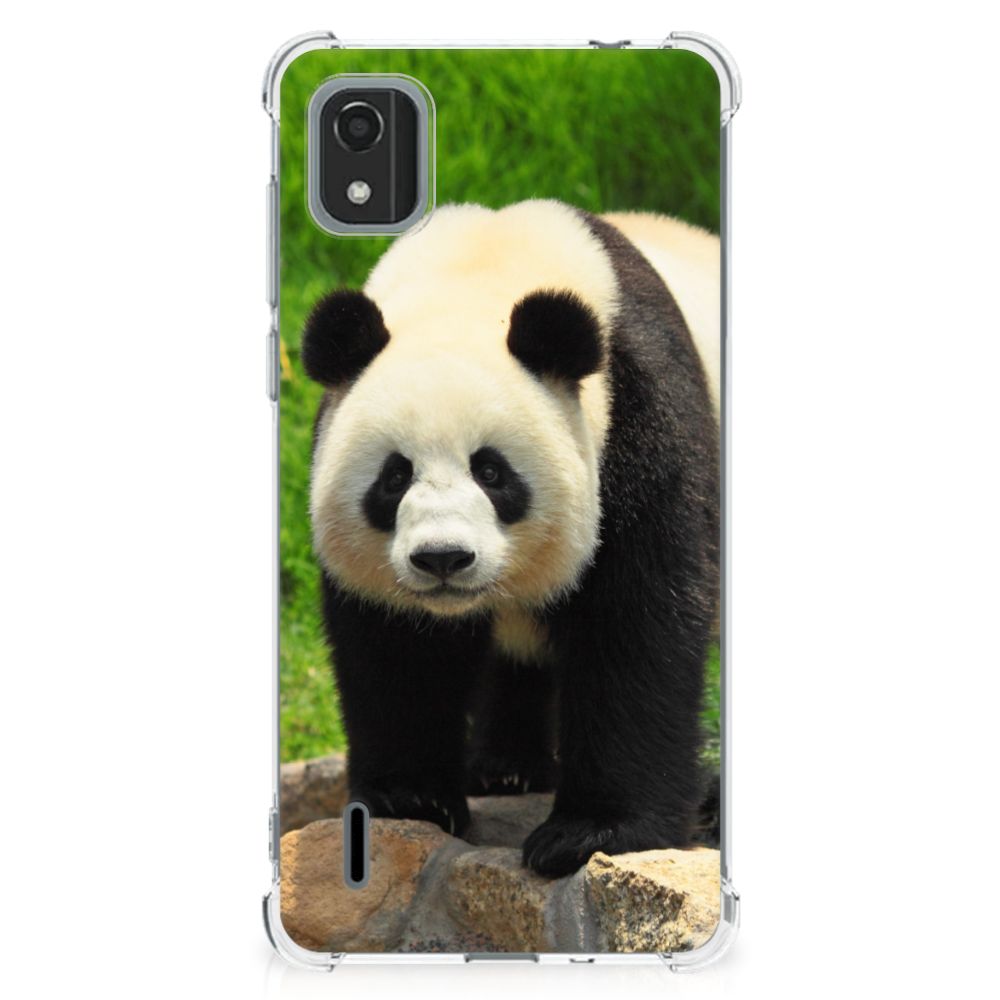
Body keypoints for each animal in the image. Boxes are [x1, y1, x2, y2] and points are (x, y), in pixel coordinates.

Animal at [301, 200, 720, 877]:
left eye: (492, 472)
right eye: (394, 476)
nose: (443, 558)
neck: (480, 271)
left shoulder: (641, 420)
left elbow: (638, 622)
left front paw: (592, 833)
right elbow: (396, 647)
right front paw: (410, 798)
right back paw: (506, 769)